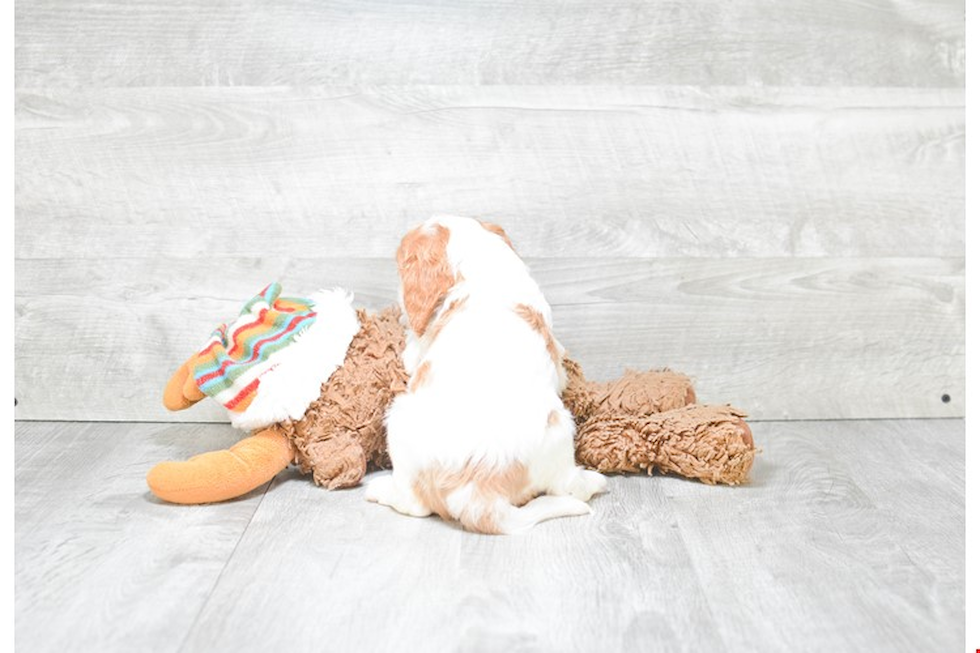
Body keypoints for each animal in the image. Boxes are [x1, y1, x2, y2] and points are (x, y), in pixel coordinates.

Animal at [364, 216, 600, 532]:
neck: (485, 270)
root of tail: (477, 490)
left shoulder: (416, 352)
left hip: (398, 416)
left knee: (415, 505)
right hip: (560, 429)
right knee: (568, 488)